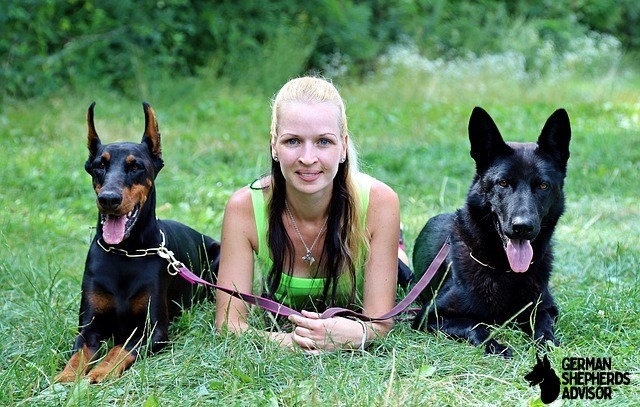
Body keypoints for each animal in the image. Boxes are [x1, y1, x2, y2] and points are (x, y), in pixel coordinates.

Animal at [56, 102, 220, 382]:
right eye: (99, 165)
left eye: (136, 167)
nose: (108, 199)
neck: (126, 252)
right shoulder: (88, 326)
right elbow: (79, 353)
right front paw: (66, 377)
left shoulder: (154, 330)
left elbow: (120, 348)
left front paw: (100, 372)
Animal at [412, 107, 572, 356]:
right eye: (503, 183)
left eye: (543, 186)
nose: (522, 227)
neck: (506, 270)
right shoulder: (429, 316)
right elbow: (475, 324)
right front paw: (496, 346)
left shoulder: (546, 307)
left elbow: (542, 323)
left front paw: (546, 343)